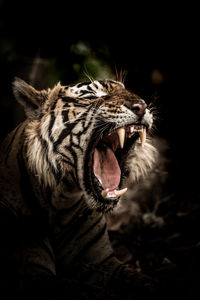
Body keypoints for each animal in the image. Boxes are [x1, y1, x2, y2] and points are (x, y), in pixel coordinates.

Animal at [0, 77, 158, 298]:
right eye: (92, 96)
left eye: (127, 90)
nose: (141, 106)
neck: (62, 200)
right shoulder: (34, 272)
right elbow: (82, 290)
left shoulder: (103, 262)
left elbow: (143, 281)